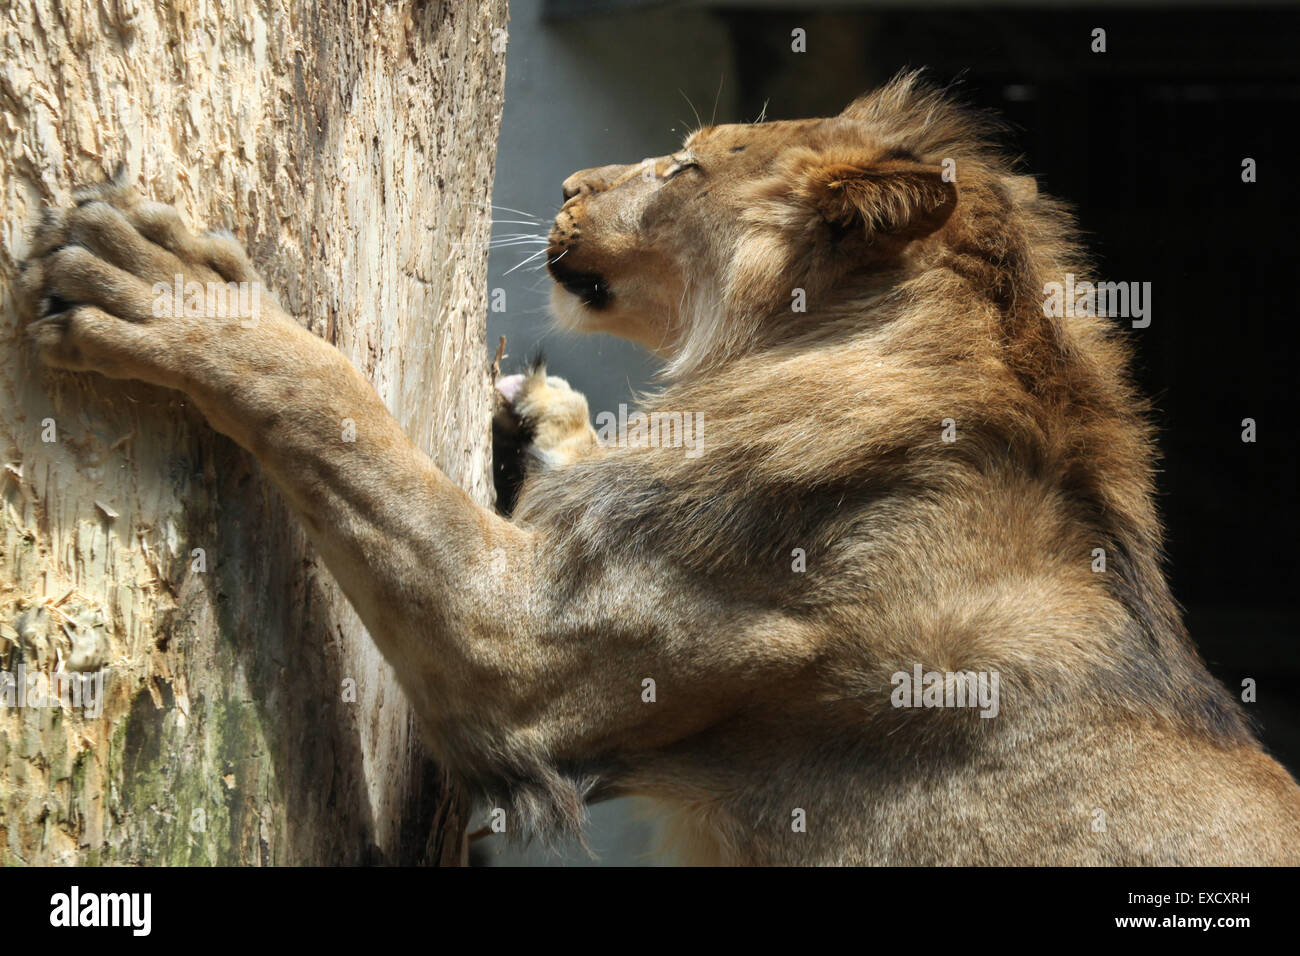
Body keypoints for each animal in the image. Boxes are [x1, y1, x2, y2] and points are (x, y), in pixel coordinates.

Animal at [20, 72, 1300, 868]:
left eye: (685, 168)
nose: (571, 184)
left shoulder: (523, 648)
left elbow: (338, 408)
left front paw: (168, 287)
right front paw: (543, 415)